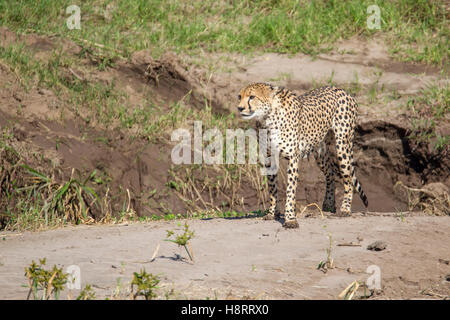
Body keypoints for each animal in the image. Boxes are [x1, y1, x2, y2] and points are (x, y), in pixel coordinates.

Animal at [237, 82, 368, 228]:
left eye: (252, 97)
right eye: (239, 96)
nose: (240, 108)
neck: (268, 118)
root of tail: (341, 90)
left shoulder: (293, 158)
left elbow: (290, 190)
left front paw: (290, 219)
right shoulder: (269, 158)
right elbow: (272, 188)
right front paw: (272, 213)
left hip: (343, 145)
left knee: (348, 179)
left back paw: (345, 208)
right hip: (320, 152)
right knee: (331, 172)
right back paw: (329, 204)